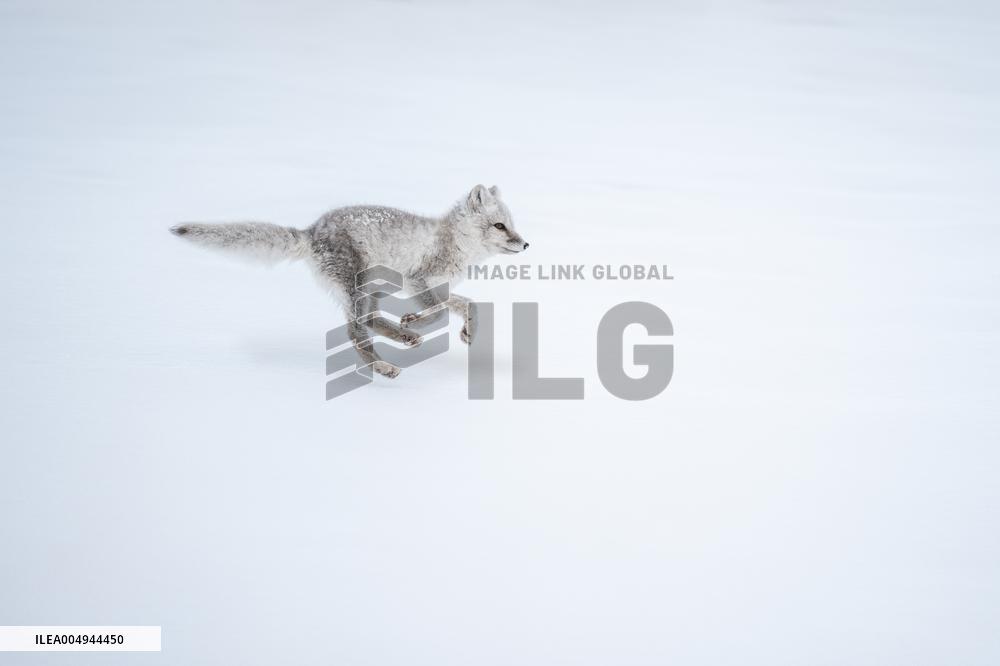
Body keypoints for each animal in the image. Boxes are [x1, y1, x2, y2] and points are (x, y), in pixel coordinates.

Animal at [170, 184, 529, 378]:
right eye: (499, 226)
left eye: (511, 224)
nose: (526, 244)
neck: (455, 243)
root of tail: (311, 231)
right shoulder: (418, 280)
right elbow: (438, 312)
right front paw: (413, 319)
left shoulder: (437, 287)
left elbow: (469, 305)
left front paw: (467, 332)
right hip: (358, 286)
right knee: (355, 331)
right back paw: (385, 365)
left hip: (373, 288)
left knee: (367, 320)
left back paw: (404, 338)